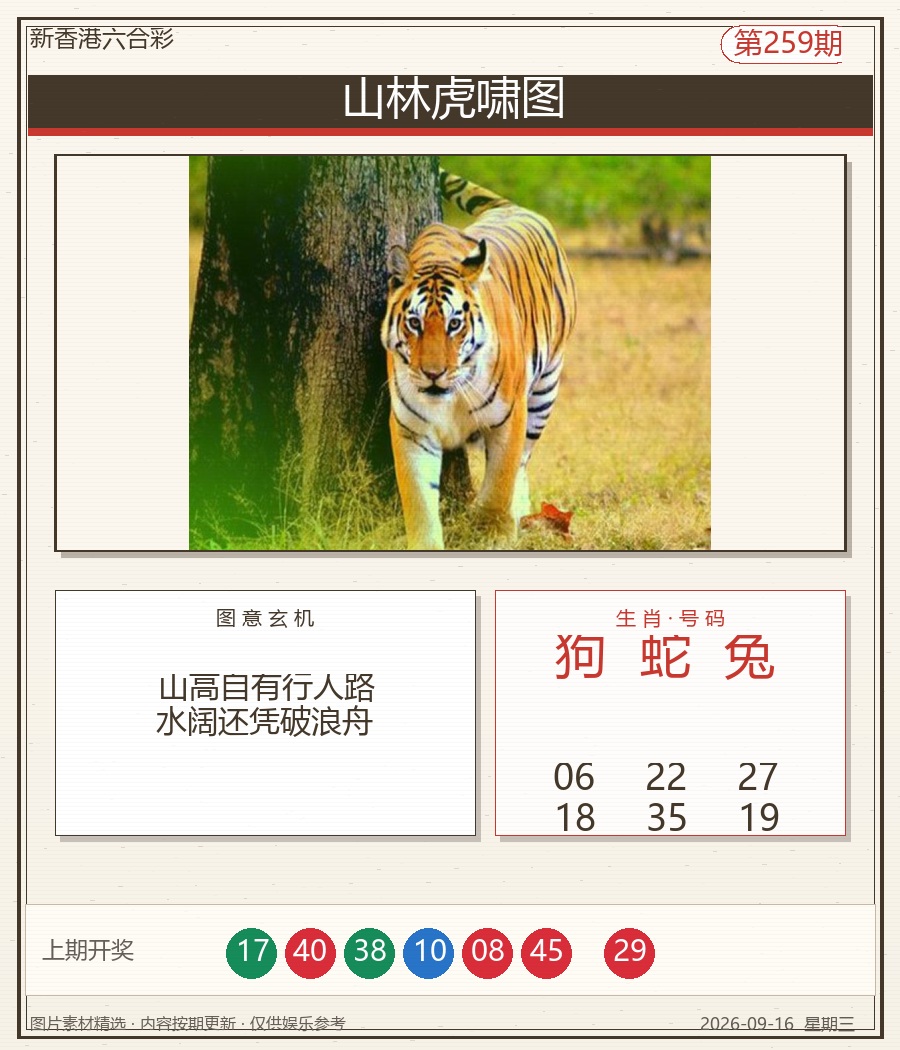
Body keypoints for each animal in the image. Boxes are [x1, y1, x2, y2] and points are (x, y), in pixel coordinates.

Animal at [381, 169, 576, 550]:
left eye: (455, 323)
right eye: (414, 323)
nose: (433, 373)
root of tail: (514, 207)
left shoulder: (508, 417)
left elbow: (499, 483)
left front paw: (492, 533)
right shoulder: (411, 429)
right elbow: (419, 500)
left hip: (545, 390)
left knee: (523, 461)